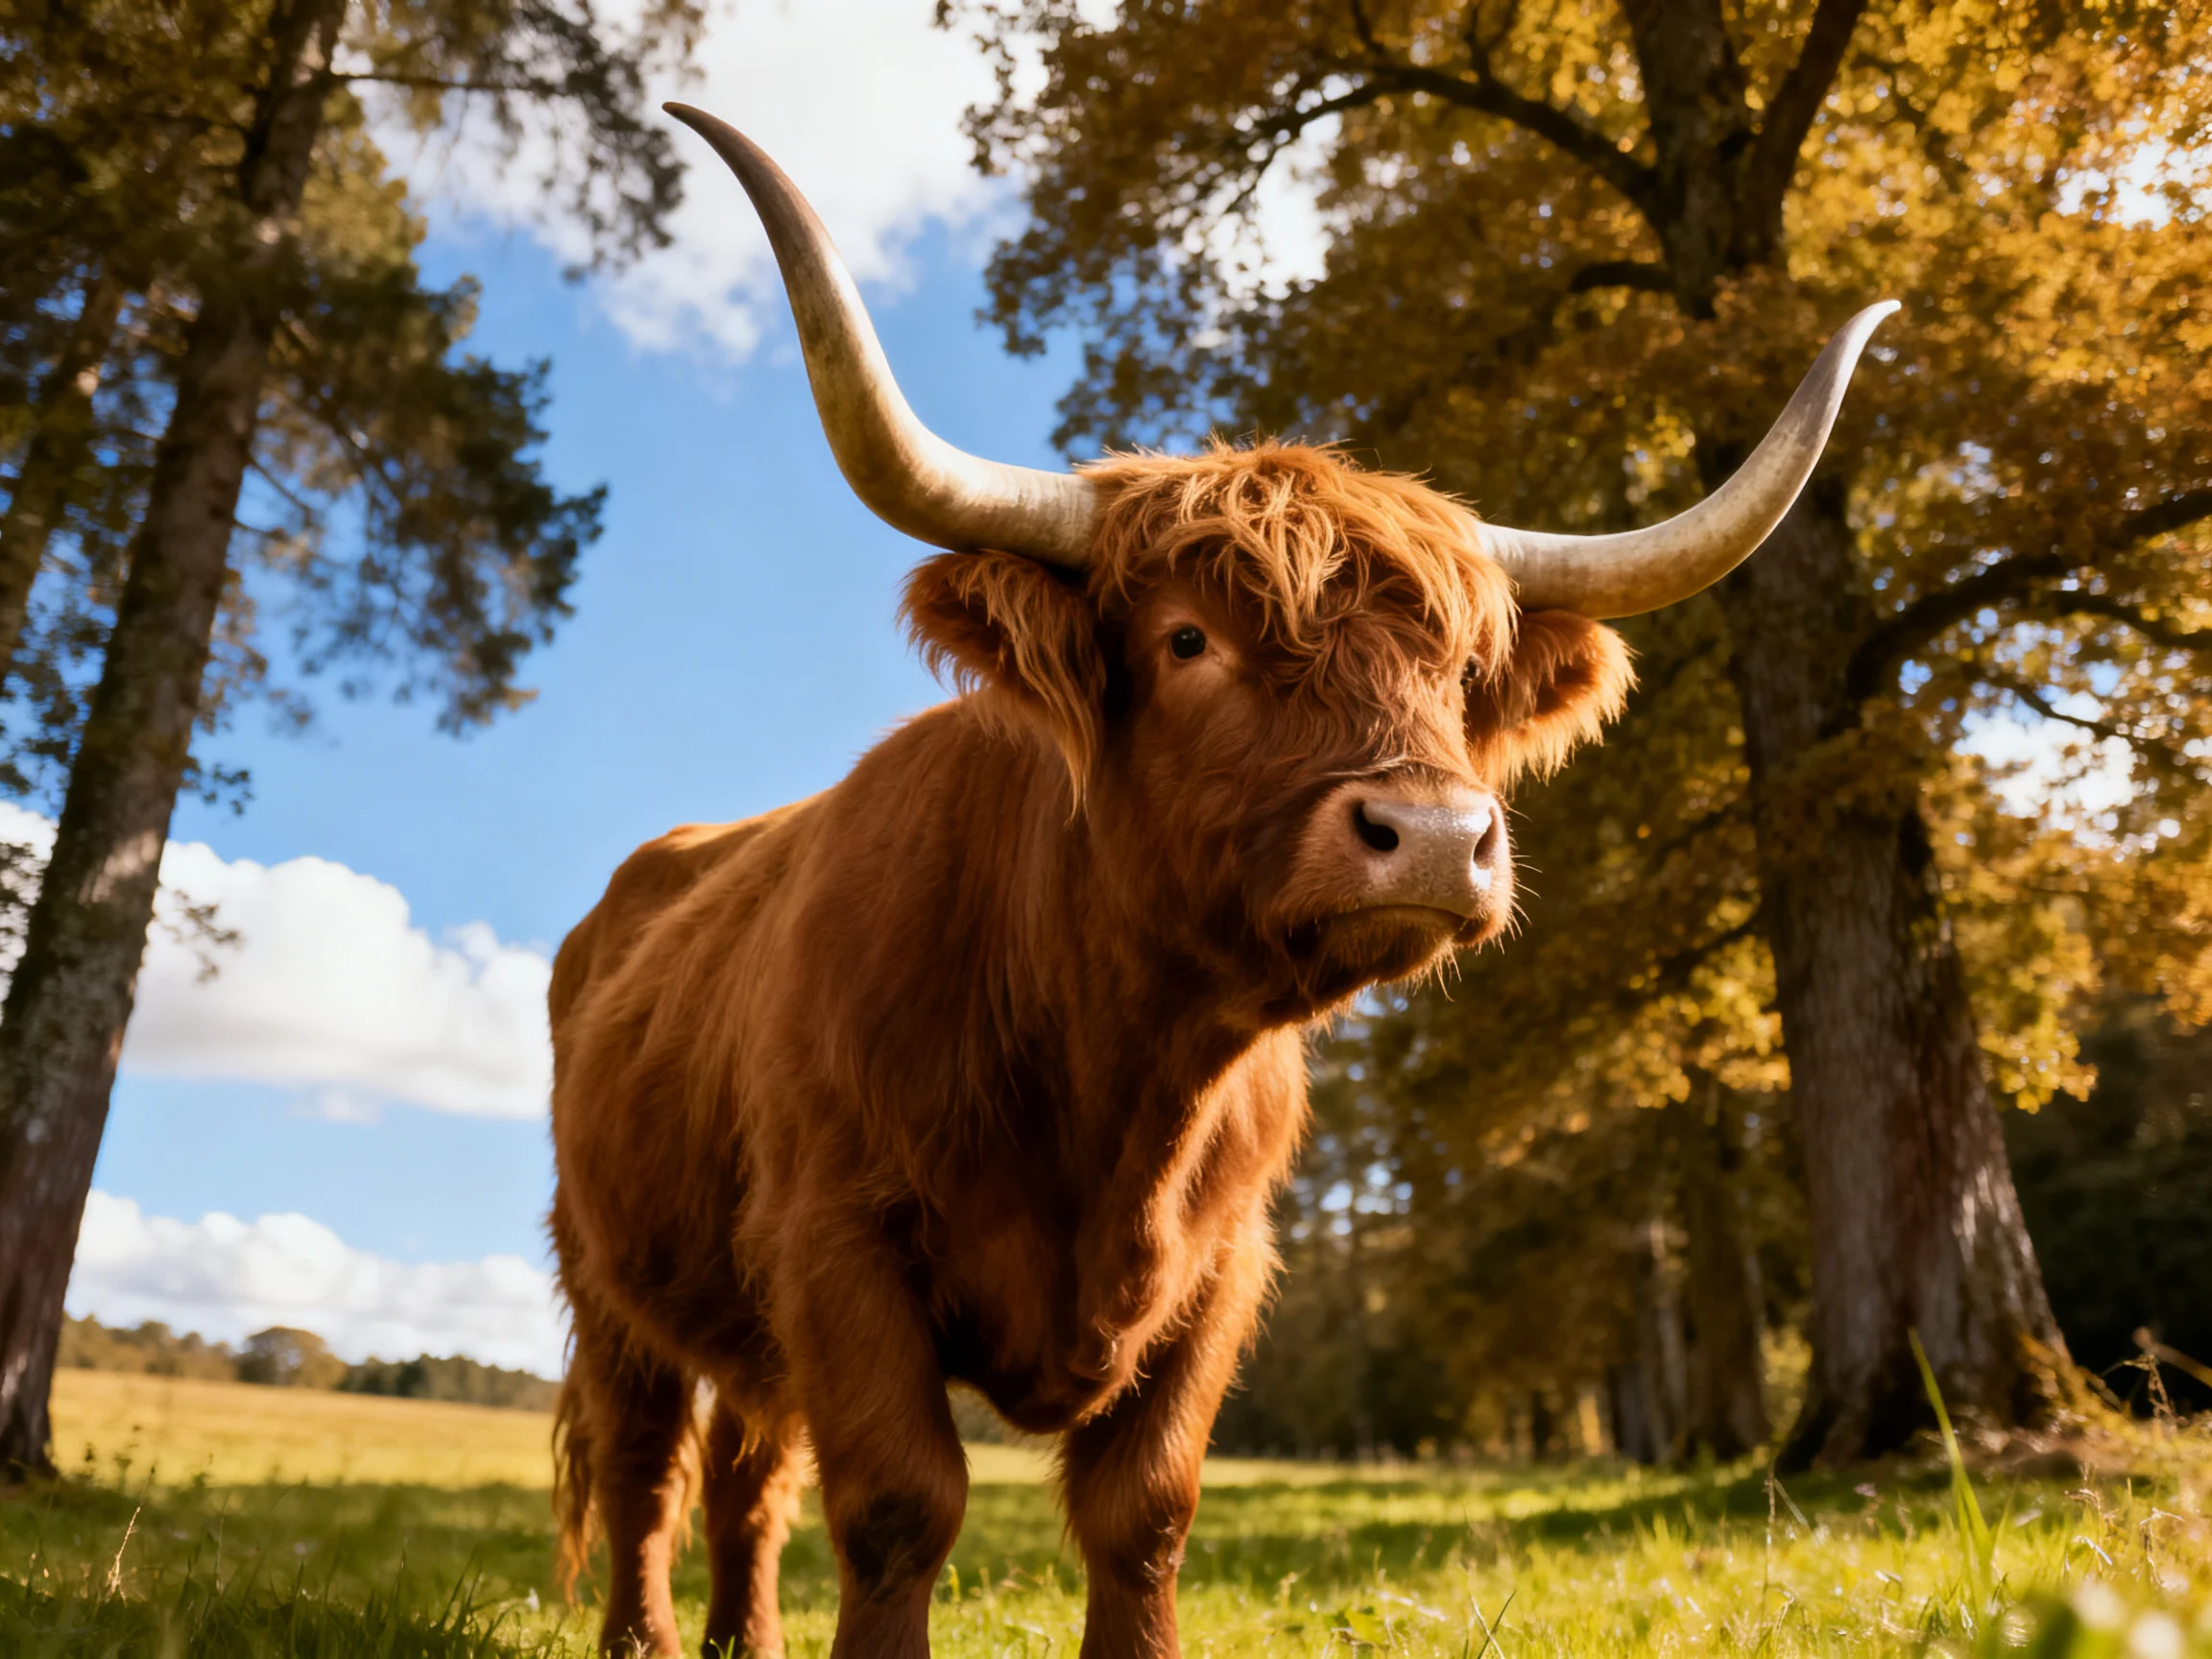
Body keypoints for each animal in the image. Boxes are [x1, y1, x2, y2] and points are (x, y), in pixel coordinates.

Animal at [547, 102, 1893, 1659]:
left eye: (1460, 669)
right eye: (1188, 640)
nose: (1436, 833)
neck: (1117, 1080)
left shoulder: (1220, 1273)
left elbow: (1145, 1514)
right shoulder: (838, 1237)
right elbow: (898, 1505)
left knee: (750, 1471)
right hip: (609, 1270)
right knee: (649, 1459)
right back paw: (644, 1640)